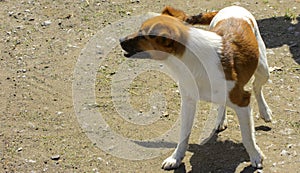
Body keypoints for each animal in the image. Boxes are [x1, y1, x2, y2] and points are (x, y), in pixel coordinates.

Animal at [119, 5, 272, 170]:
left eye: (142, 36)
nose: (120, 40)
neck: (189, 62)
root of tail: (232, 6)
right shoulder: (188, 102)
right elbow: (183, 135)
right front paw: (176, 158)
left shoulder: (242, 101)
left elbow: (247, 137)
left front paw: (255, 156)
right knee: (224, 102)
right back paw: (221, 120)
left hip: (263, 69)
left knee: (256, 87)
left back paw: (265, 111)